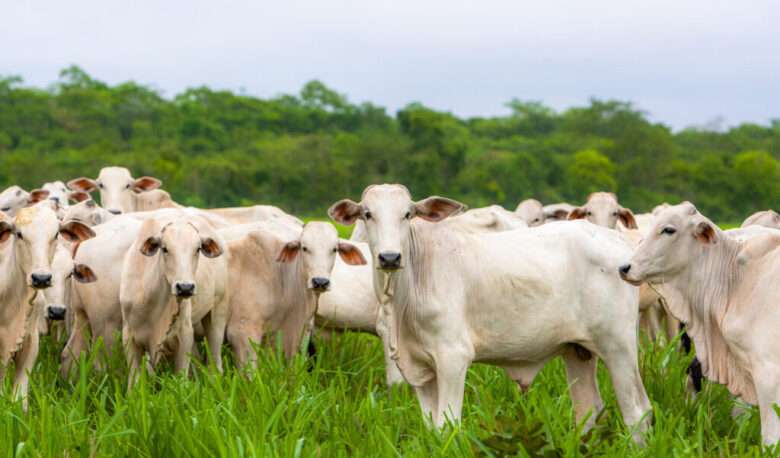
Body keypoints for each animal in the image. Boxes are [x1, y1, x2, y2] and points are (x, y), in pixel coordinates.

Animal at [120, 215, 227, 386]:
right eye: (164, 249)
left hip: (217, 313)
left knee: (215, 364)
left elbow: (181, 379)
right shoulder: (129, 337)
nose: (185, 287)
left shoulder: (184, 335)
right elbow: (135, 382)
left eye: (198, 249)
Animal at [330, 185, 652, 440]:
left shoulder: (453, 357)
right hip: (577, 351)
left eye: (408, 214)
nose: (389, 257)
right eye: (367, 214)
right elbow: (432, 428)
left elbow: (448, 424)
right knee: (588, 411)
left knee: (637, 412)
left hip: (619, 347)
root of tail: (618, 243)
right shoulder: (419, 370)